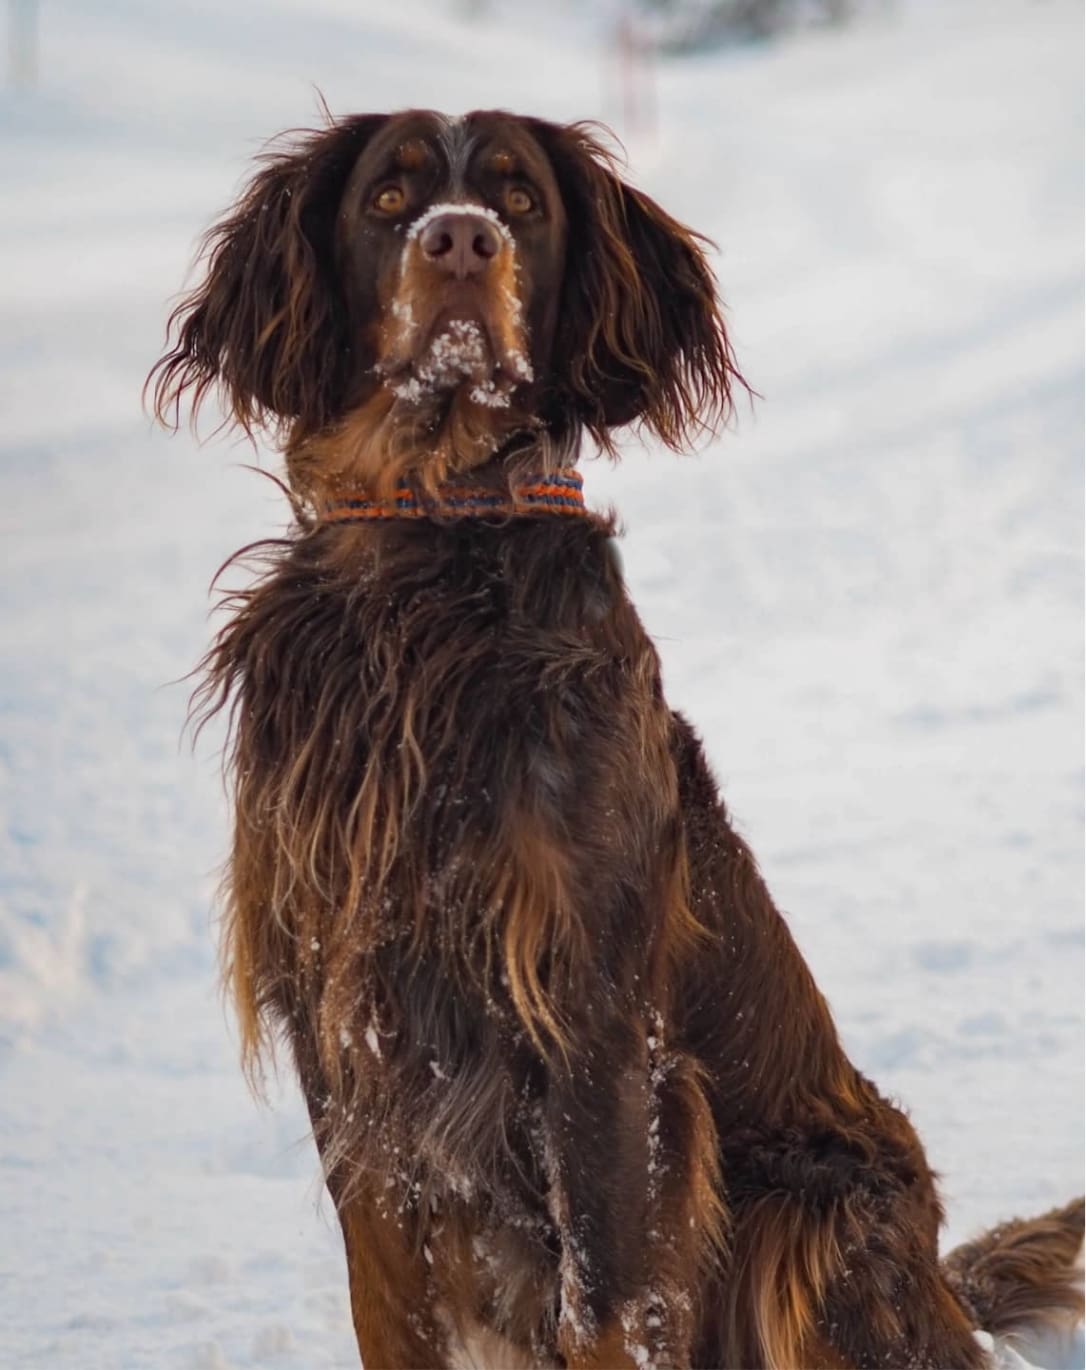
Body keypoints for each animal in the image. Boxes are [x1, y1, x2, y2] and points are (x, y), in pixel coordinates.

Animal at [150, 112, 1073, 1364]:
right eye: (389, 197)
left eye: (520, 203)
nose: (458, 241)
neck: (428, 563)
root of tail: (942, 1285)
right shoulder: (345, 1032)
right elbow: (388, 1292)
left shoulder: (594, 1013)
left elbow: (609, 1292)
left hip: (816, 1210)